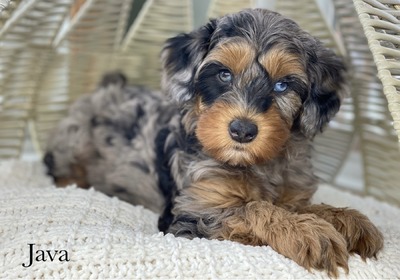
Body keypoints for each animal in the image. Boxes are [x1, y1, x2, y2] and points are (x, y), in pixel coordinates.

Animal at [43, 8, 382, 276]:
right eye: (223, 75)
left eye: (282, 85)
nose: (243, 130)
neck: (255, 163)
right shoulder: (190, 215)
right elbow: (253, 208)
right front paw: (307, 231)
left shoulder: (292, 191)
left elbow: (301, 206)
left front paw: (347, 219)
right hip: (73, 141)